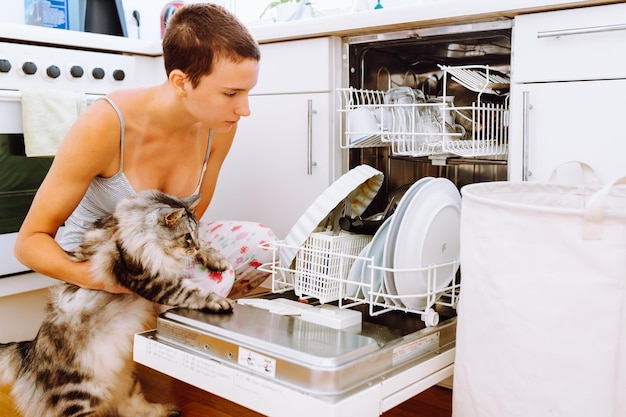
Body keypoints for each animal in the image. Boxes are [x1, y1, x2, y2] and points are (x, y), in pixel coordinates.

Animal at [0, 189, 234, 416]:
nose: (195, 247)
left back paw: (167, 410)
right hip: (80, 396)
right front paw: (221, 302)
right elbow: (192, 292)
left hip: (127, 380)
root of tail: (30, 349)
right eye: (186, 236)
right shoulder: (150, 280)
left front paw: (215, 258)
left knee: (133, 408)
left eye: (196, 234)